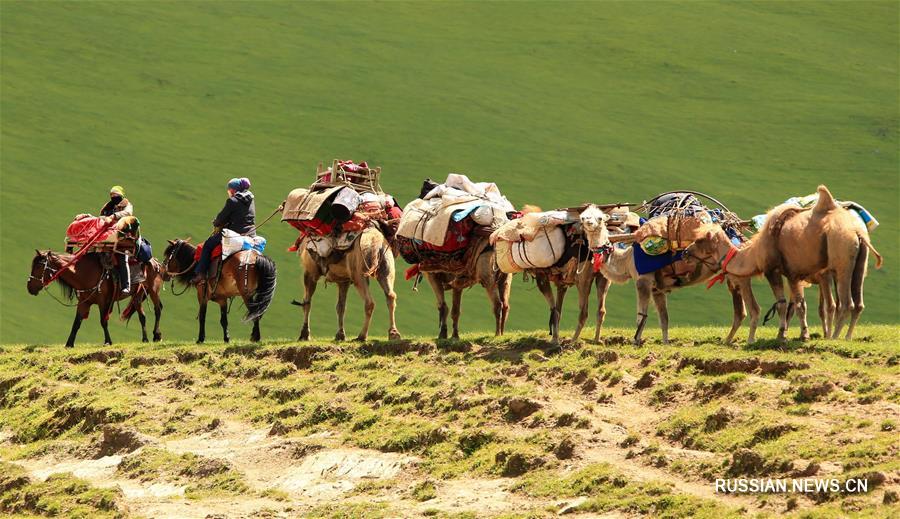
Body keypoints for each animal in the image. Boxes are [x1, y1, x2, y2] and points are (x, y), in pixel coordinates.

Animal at [27, 250, 165, 348]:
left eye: (39, 266)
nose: (29, 287)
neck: (84, 273)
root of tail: (154, 261)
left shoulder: (103, 302)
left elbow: (103, 321)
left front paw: (108, 342)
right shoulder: (84, 303)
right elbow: (76, 323)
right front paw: (69, 344)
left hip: (153, 290)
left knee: (158, 310)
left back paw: (157, 335)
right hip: (137, 295)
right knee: (142, 316)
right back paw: (145, 339)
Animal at [684, 186, 884, 342]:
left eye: (700, 240)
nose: (686, 252)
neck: (756, 252)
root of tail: (857, 231)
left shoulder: (772, 269)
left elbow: (781, 303)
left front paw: (781, 335)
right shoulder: (793, 274)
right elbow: (799, 305)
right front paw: (802, 335)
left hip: (841, 257)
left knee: (845, 303)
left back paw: (834, 338)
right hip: (859, 262)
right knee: (857, 303)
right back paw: (847, 337)